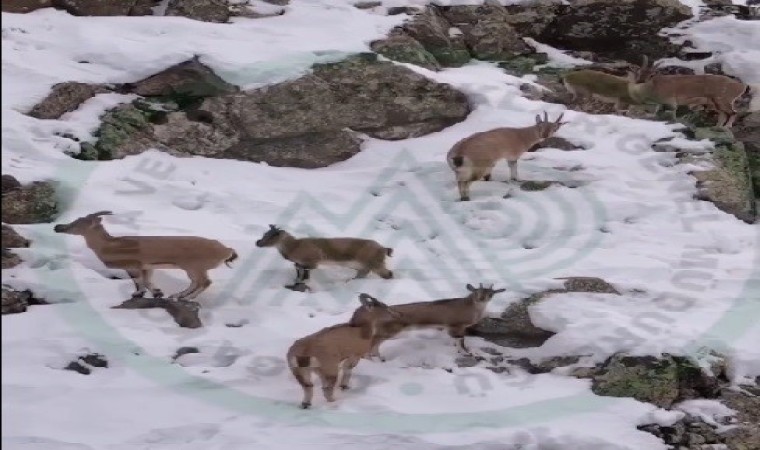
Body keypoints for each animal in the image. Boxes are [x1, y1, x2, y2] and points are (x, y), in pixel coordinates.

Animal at [53, 211, 236, 302]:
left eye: (77, 223)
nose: (58, 227)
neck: (111, 245)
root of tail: (225, 250)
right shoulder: (147, 266)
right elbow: (146, 280)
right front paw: (156, 293)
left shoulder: (133, 265)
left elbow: (139, 281)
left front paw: (143, 294)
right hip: (192, 268)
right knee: (196, 282)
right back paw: (177, 295)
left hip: (195, 266)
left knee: (204, 282)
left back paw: (186, 297)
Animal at [256, 225, 394, 292]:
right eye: (264, 233)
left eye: (271, 235)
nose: (257, 243)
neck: (294, 247)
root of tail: (384, 249)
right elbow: (300, 271)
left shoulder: (314, 261)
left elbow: (303, 270)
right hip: (362, 266)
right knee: (363, 274)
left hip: (375, 263)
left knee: (388, 274)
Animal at [348, 284, 504, 358]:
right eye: (476, 292)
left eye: (491, 294)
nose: (481, 299)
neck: (470, 307)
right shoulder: (456, 326)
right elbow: (460, 340)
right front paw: (466, 352)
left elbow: (458, 340)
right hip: (388, 330)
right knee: (374, 341)